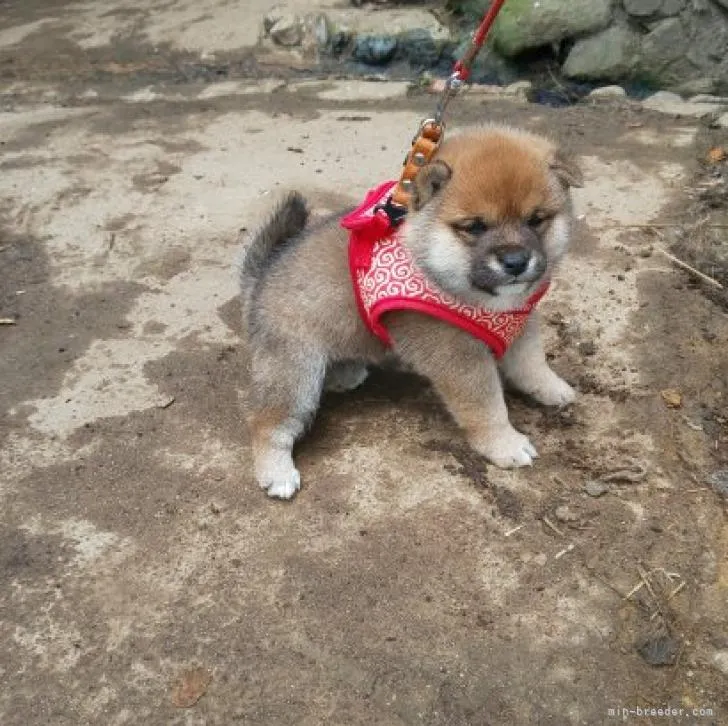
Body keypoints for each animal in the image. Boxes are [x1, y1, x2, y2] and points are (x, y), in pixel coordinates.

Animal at [242, 125, 584, 500]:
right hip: (294, 372)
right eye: (475, 227)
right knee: (267, 423)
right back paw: (276, 472)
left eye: (536, 220)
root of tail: (262, 276)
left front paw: (552, 389)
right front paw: (504, 443)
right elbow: (487, 405)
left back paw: (346, 373)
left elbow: (532, 365)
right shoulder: (457, 356)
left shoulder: (521, 325)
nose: (516, 262)